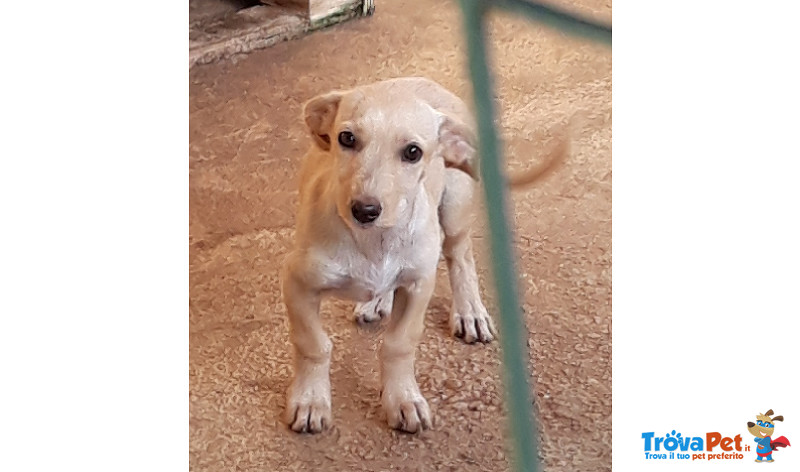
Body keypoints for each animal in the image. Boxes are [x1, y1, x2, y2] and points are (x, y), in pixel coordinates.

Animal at [282, 77, 568, 436]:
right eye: (346, 138)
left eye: (413, 152)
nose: (364, 210)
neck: (373, 241)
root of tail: (423, 80)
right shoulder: (298, 284)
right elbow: (313, 344)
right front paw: (310, 400)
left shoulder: (420, 285)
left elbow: (399, 344)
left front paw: (402, 399)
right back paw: (378, 301)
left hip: (456, 208)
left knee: (460, 257)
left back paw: (470, 311)